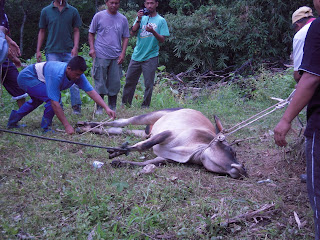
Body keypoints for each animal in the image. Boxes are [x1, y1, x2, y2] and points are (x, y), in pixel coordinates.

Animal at [78, 109, 248, 178]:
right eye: (232, 150)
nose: (244, 170)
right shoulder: (167, 133)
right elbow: (142, 146)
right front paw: (116, 151)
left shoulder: (165, 158)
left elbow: (147, 162)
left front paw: (120, 162)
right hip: (153, 115)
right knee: (121, 122)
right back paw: (85, 124)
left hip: (145, 131)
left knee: (117, 130)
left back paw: (87, 128)